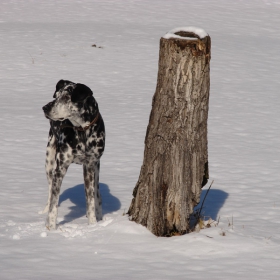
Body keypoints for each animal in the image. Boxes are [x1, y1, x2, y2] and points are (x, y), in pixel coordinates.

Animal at [41, 79, 106, 230]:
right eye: (56, 96)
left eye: (66, 97)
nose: (45, 107)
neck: (82, 131)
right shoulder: (60, 168)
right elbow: (54, 204)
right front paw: (51, 228)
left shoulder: (89, 166)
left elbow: (90, 200)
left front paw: (93, 224)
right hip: (49, 161)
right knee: (50, 190)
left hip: (96, 167)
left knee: (97, 193)